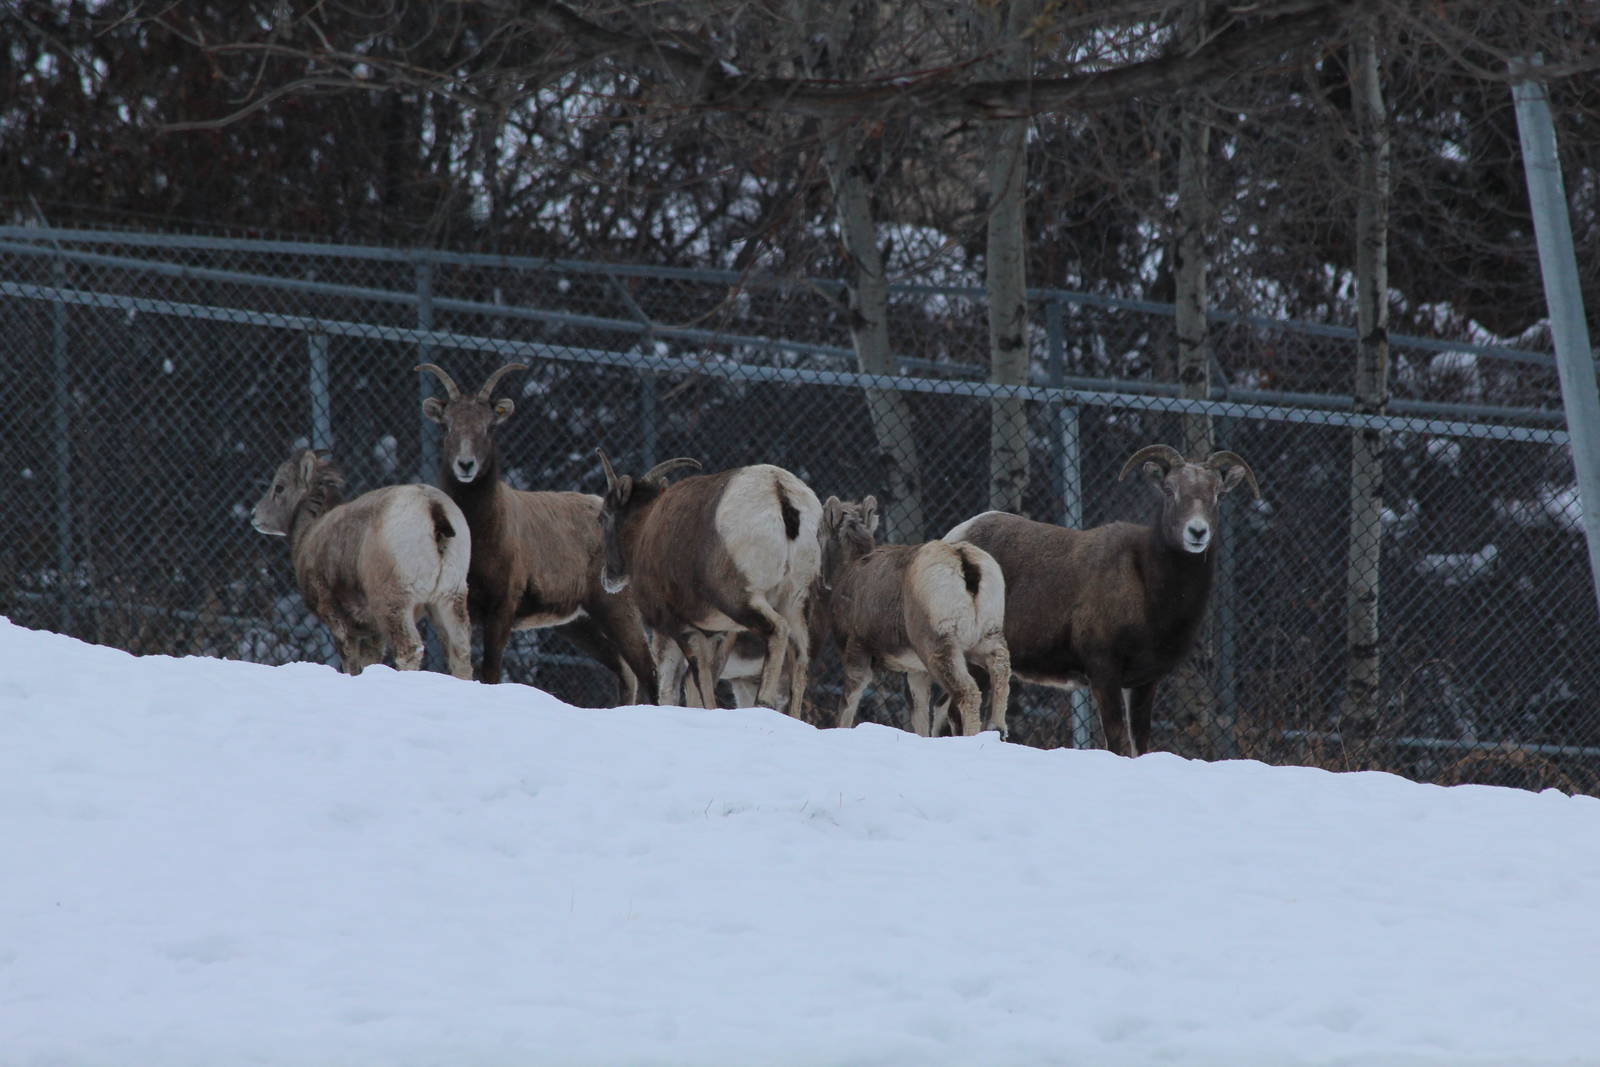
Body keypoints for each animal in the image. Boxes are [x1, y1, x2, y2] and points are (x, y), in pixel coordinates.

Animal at [250, 448, 473, 679]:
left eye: (279, 487)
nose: (254, 515)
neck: (309, 533)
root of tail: (432, 506)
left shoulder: (338, 620)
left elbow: (351, 663)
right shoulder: (373, 632)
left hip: (395, 605)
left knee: (410, 650)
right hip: (449, 599)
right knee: (461, 654)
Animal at [418, 363, 659, 702]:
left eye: (488, 427)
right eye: (447, 426)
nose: (466, 465)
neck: (480, 534)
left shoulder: (502, 607)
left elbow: (490, 673)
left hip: (617, 610)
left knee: (647, 671)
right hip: (578, 624)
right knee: (625, 671)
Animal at [596, 448, 822, 714]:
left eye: (603, 517)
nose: (608, 577)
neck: (645, 528)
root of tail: (778, 489)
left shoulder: (676, 627)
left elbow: (692, 682)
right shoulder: (714, 633)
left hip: (741, 600)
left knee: (777, 630)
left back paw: (762, 702)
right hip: (795, 604)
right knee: (800, 657)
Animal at [820, 496, 1011, 737]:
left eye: (820, 533)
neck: (849, 569)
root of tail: (965, 564)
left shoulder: (857, 651)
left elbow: (848, 705)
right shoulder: (916, 672)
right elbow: (919, 715)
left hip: (939, 647)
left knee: (967, 692)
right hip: (988, 637)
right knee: (1001, 668)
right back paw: (998, 728)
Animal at [944, 445, 1260, 757]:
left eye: (1218, 494)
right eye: (1170, 490)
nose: (1197, 532)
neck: (1148, 588)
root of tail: (955, 539)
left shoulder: (1144, 683)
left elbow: (1139, 742)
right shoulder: (1103, 672)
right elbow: (1117, 740)